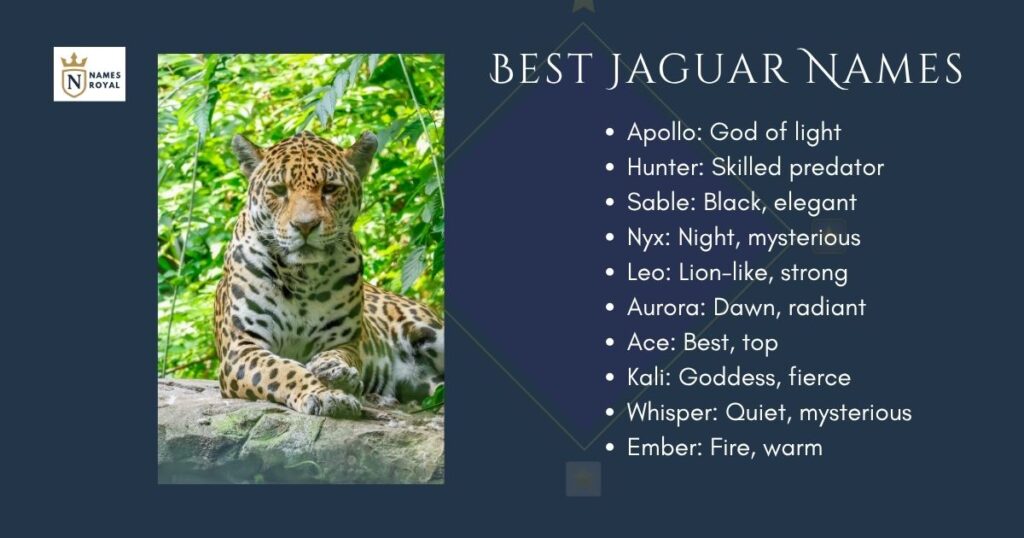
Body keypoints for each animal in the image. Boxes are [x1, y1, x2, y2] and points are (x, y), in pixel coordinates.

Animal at [214, 129, 444, 419]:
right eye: (279, 191)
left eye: (330, 189)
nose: (305, 225)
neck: (300, 276)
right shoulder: (241, 347)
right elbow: (284, 369)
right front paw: (325, 394)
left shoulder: (345, 343)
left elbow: (338, 358)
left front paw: (336, 373)